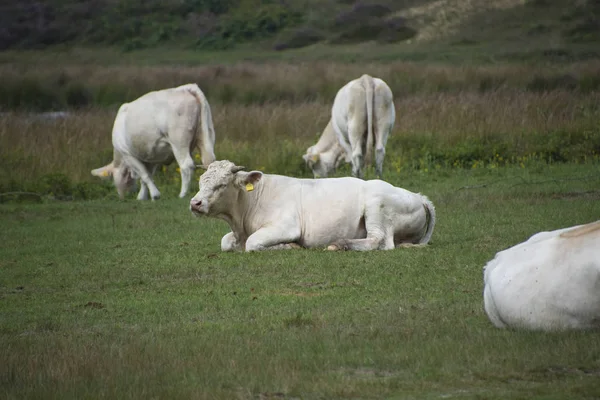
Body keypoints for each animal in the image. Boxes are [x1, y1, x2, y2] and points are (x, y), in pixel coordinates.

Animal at [190, 160, 434, 252]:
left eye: (221, 184)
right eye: (201, 182)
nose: (195, 203)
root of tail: (417, 195)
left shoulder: (286, 226)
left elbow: (252, 243)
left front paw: (289, 246)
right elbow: (225, 242)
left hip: (376, 205)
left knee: (379, 241)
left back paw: (340, 244)